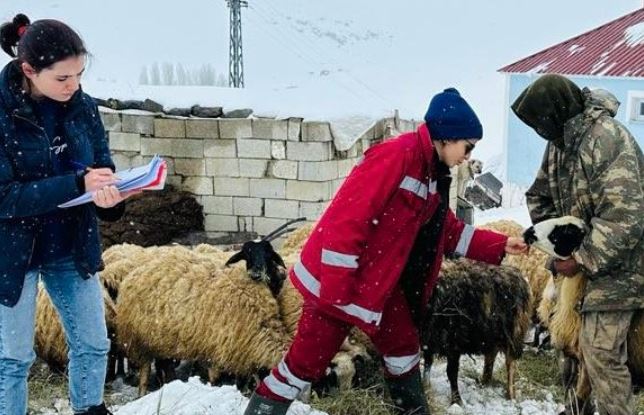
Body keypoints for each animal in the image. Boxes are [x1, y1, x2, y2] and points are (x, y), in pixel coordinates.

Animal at [420, 258, 532, 404]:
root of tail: (520, 276)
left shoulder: (454, 341)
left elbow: (451, 372)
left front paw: (457, 401)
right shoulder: (429, 338)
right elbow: (428, 364)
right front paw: (426, 388)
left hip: (513, 334)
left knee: (510, 364)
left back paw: (510, 395)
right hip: (492, 334)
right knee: (491, 355)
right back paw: (484, 381)